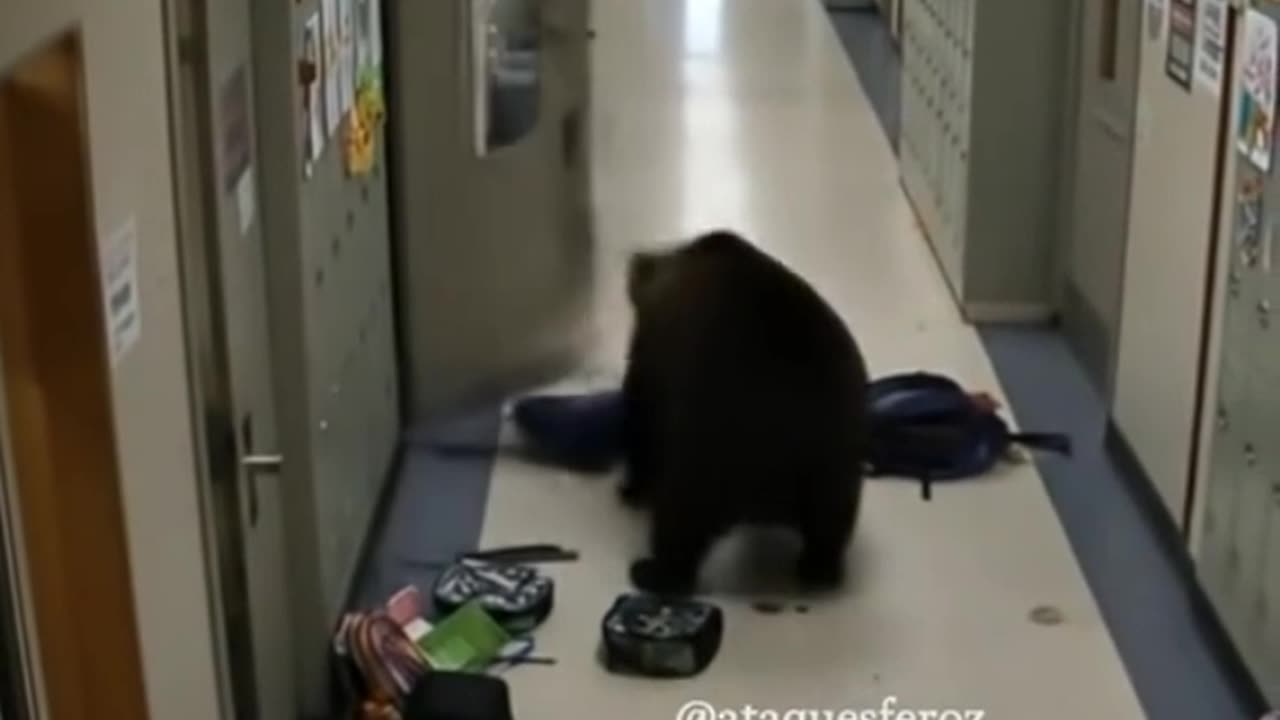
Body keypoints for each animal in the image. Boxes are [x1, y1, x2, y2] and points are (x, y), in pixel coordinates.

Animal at [619, 229, 869, 595]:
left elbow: (640, 422)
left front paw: (632, 487)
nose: (635, 259)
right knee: (830, 527)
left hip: (710, 452)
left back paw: (654, 571)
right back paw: (819, 570)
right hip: (837, 464)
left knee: (681, 520)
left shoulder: (653, 359)